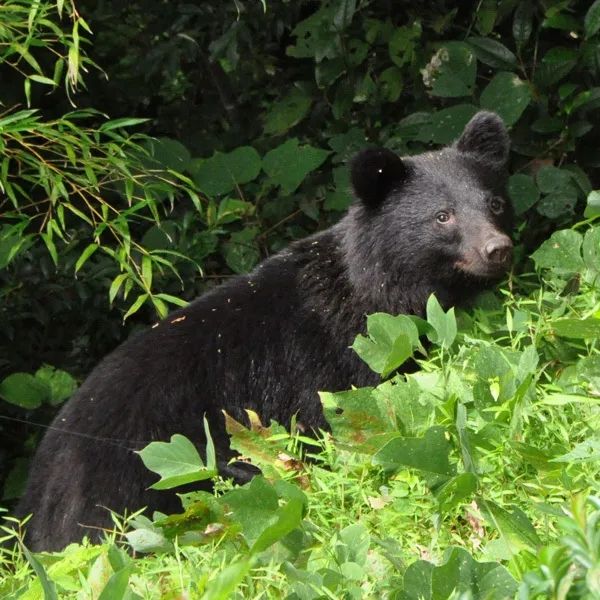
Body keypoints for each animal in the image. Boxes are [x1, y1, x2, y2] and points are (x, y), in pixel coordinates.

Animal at [15, 110, 510, 552]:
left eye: (494, 203)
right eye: (443, 216)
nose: (498, 248)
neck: (379, 290)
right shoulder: (325, 359)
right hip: (139, 482)